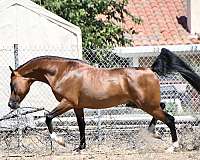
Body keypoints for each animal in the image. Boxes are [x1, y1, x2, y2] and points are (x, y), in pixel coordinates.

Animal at [7, 48, 198, 152]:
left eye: (12, 84)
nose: (11, 104)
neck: (63, 72)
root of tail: (150, 70)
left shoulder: (67, 102)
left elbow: (48, 117)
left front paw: (61, 142)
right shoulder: (77, 106)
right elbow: (81, 125)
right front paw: (80, 147)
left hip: (147, 105)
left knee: (170, 118)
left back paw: (172, 146)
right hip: (141, 104)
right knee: (163, 108)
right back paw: (151, 132)